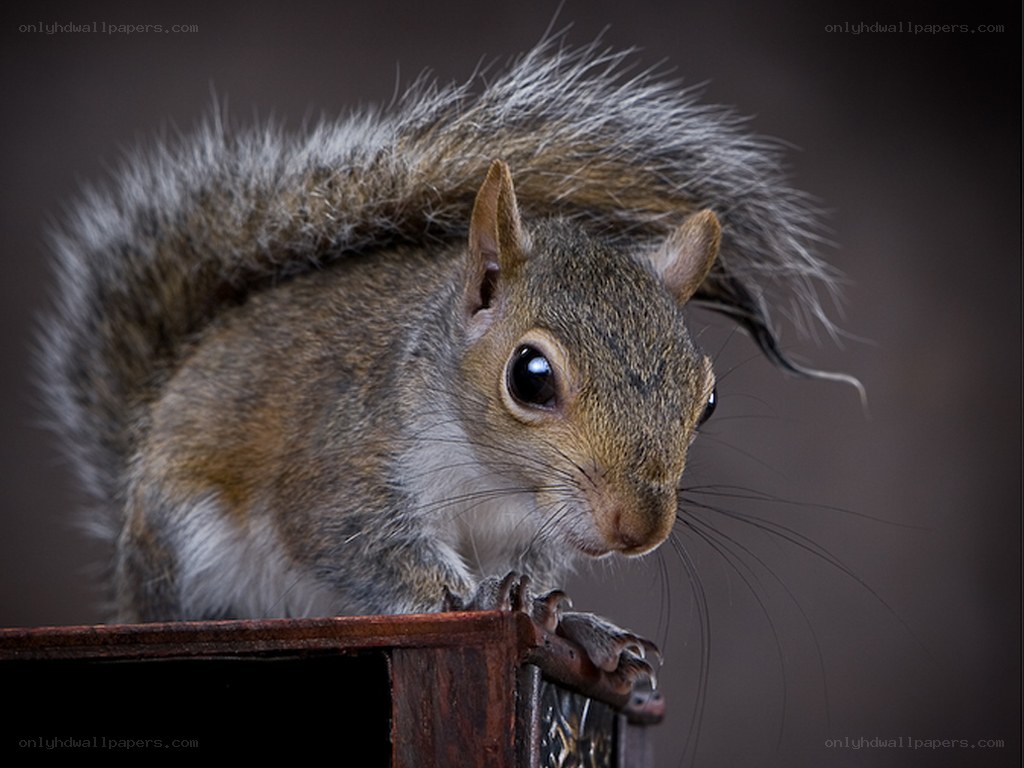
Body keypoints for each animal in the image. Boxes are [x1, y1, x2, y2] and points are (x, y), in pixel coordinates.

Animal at [40, 40, 854, 683]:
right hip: (187, 548)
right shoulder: (341, 467)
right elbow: (354, 545)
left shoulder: (532, 529)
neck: (494, 482)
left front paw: (569, 618)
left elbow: (537, 575)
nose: (638, 529)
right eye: (530, 376)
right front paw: (472, 599)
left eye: (706, 400)